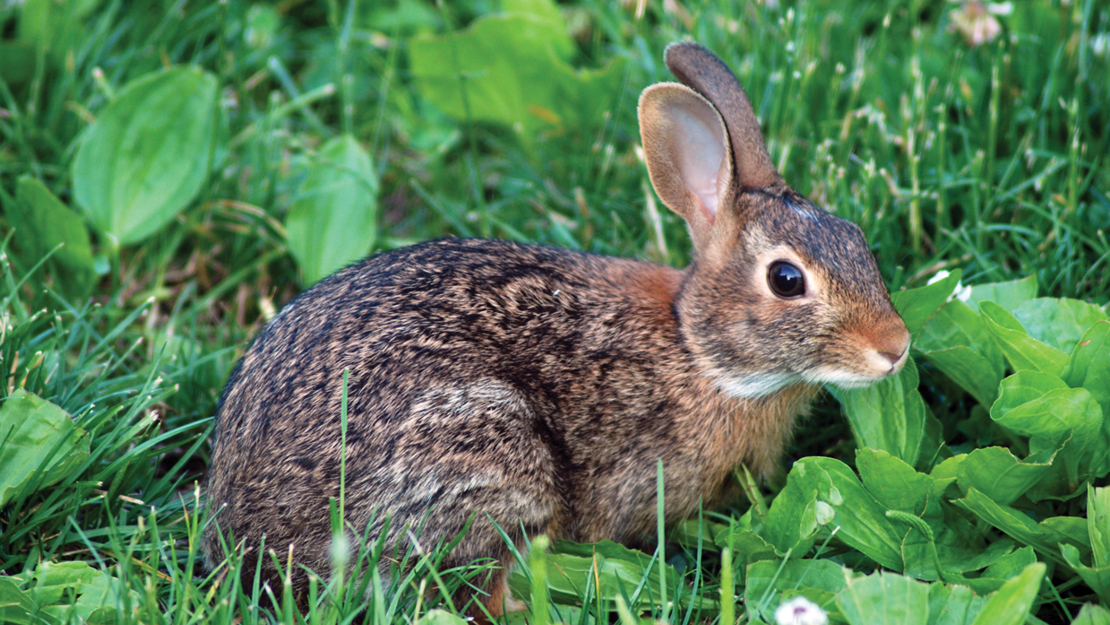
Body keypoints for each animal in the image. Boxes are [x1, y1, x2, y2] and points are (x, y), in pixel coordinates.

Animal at [202, 41, 910, 617]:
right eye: (787, 280)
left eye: (857, 239)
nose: (895, 348)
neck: (698, 351)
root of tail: (247, 533)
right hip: (487, 456)